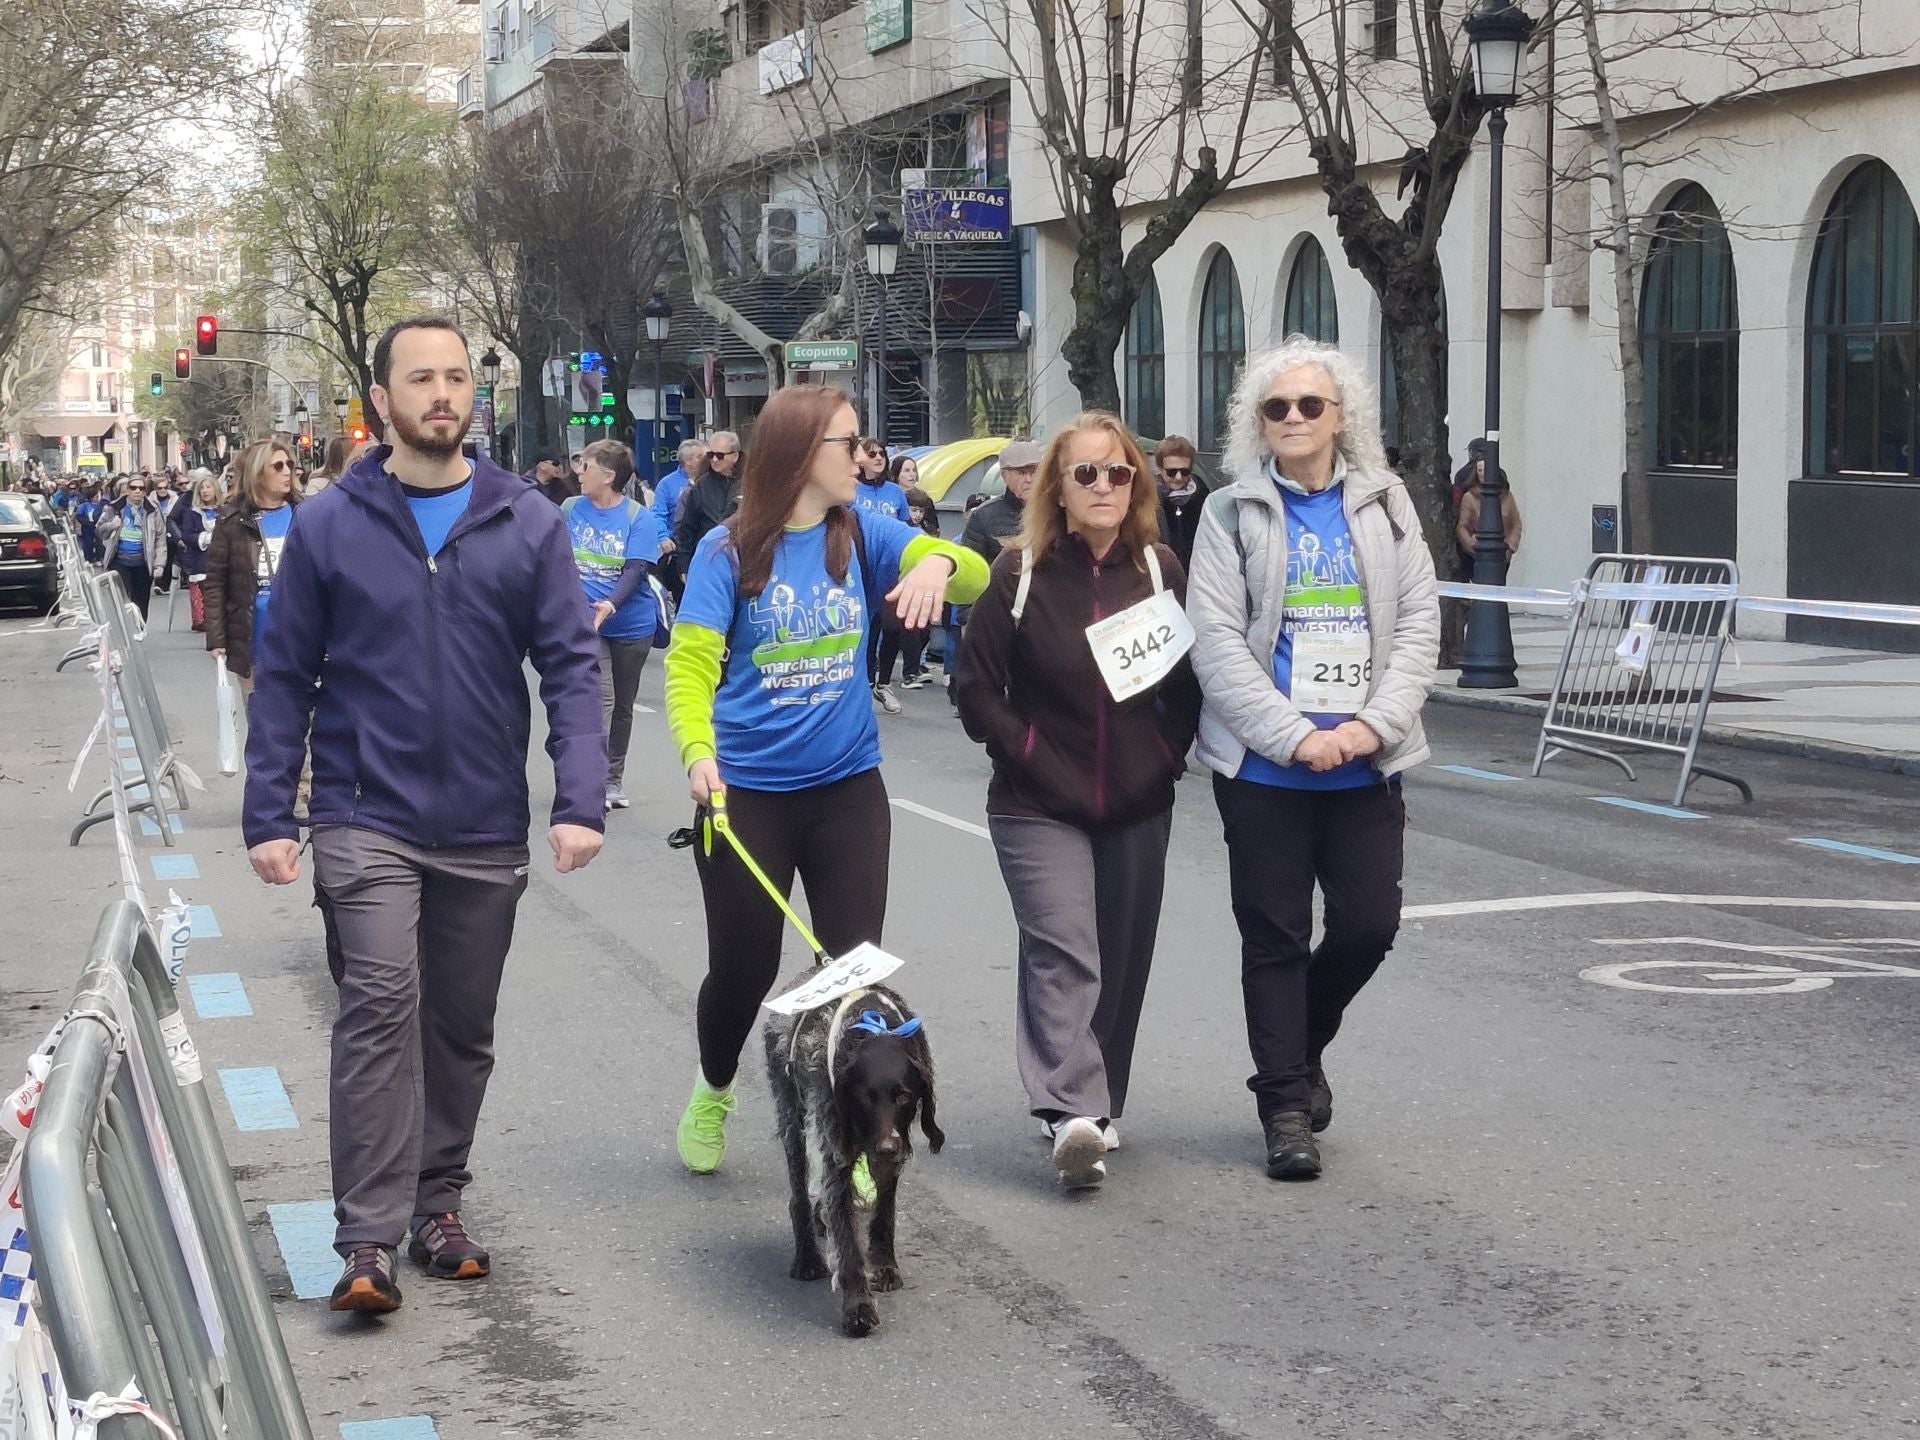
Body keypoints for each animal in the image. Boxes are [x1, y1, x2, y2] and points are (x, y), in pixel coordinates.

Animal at [764, 983, 944, 1344]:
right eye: (865, 1097)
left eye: (903, 1095)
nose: (887, 1147)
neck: (874, 1028)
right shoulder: (837, 1153)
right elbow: (847, 1239)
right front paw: (858, 1306)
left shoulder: (890, 1157)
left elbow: (885, 1212)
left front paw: (885, 1264)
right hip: (791, 1113)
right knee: (799, 1194)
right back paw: (807, 1256)